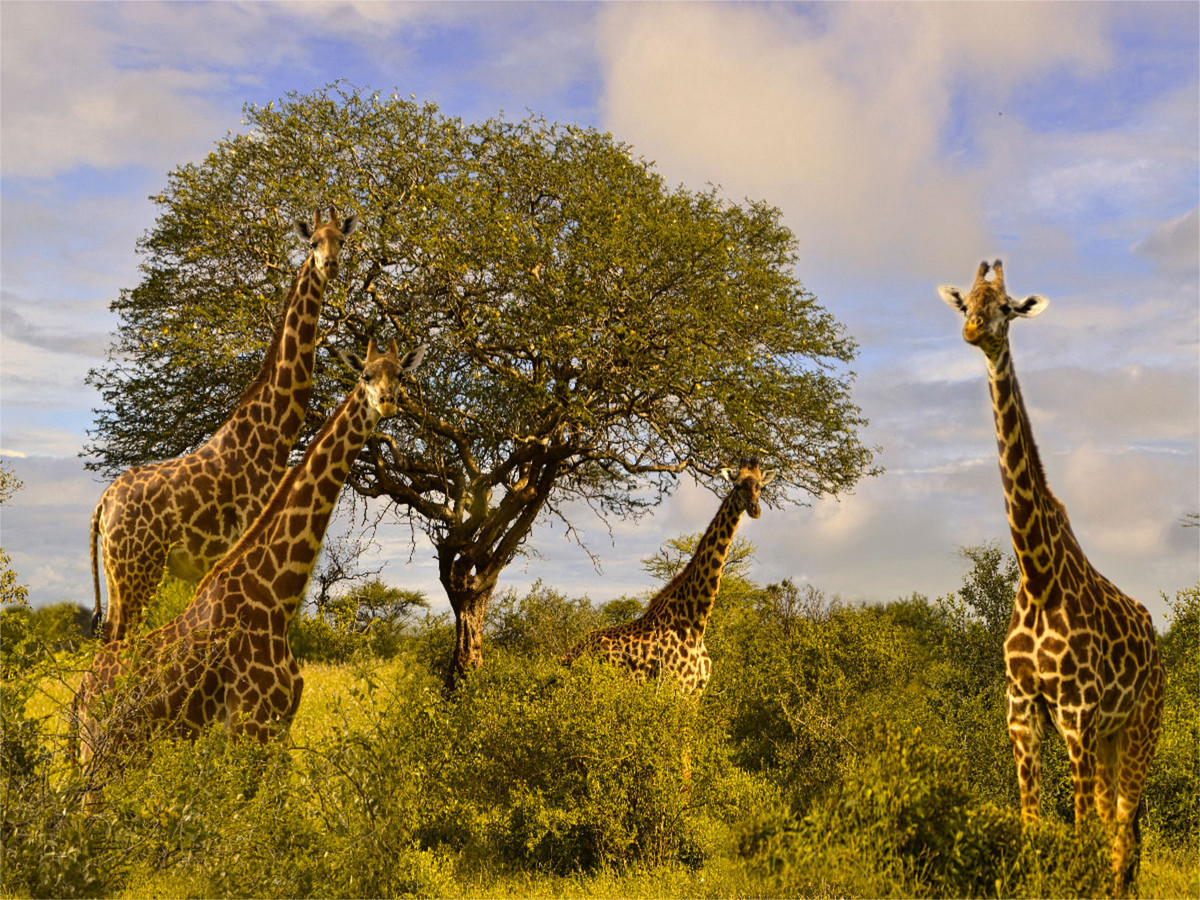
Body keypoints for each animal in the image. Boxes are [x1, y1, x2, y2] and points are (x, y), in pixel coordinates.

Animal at [72, 340, 424, 787]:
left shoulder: (278, 728)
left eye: (401, 374)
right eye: (366, 375)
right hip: (102, 755)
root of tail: (79, 697)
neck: (275, 594)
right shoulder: (249, 725)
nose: (388, 401)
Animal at [91, 207, 357, 643]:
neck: (275, 436)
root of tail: (103, 505)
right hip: (136, 570)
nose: (329, 265)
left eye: (342, 241)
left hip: (119, 574)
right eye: (313, 242)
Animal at [559, 458, 772, 696]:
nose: (755, 509)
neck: (695, 622)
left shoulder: (696, 693)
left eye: (761, 487)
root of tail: (568, 653)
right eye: (737, 485)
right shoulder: (676, 687)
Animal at [940, 260, 1156, 897]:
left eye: (1007, 307)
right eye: (967, 300)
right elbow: (1032, 823)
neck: (1037, 577)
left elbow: (1081, 830)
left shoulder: (1077, 712)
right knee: (1119, 822)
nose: (973, 329)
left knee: (1123, 825)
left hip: (1141, 724)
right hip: (1110, 736)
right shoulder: (1021, 706)